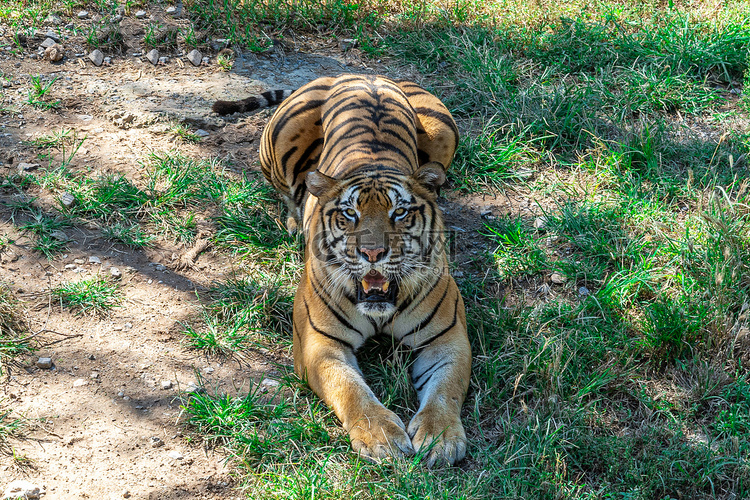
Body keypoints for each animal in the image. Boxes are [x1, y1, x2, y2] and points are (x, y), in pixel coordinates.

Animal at [212, 75, 470, 468]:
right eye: (350, 214)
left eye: (399, 213)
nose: (373, 252)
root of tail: (359, 74)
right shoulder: (321, 344)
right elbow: (350, 390)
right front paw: (382, 438)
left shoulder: (448, 339)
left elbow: (445, 390)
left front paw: (440, 437)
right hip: (279, 146)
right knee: (289, 192)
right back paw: (294, 221)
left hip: (444, 131)